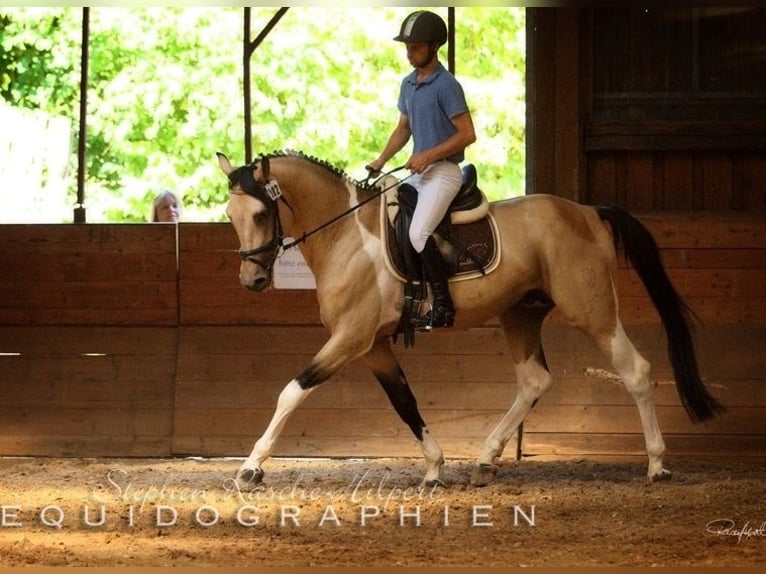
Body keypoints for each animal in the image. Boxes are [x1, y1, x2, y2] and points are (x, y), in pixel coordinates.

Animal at [218, 150, 728, 490]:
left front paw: (252, 466)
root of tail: (586, 211)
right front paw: (434, 466)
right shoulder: (374, 345)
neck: (346, 233)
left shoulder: (350, 338)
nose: (252, 279)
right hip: (520, 313)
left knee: (635, 371)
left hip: (593, 311)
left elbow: (291, 391)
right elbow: (405, 402)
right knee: (534, 381)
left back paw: (657, 464)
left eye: (261, 213)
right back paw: (486, 458)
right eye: (230, 214)